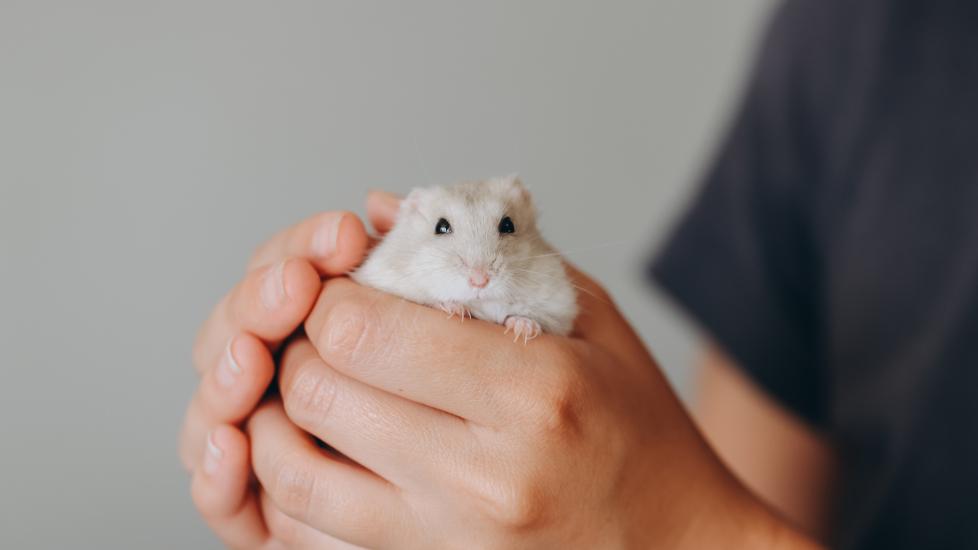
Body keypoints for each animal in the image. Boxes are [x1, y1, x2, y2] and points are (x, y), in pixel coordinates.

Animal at [351, 175, 578, 342]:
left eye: (508, 225)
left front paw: (524, 328)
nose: (480, 280)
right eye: (441, 227)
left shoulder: (559, 307)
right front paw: (455, 309)